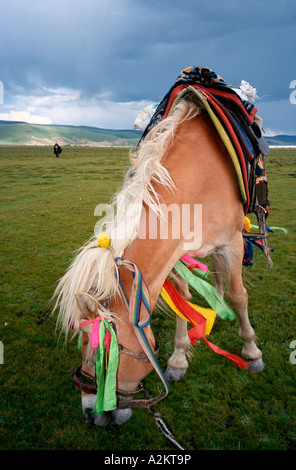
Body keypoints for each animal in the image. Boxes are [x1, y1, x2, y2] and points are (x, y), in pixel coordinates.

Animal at [52, 91, 264, 426]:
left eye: (98, 352)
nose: (89, 414)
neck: (199, 181)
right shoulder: (178, 253)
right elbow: (183, 302)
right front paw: (178, 359)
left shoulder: (232, 244)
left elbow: (239, 296)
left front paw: (252, 351)